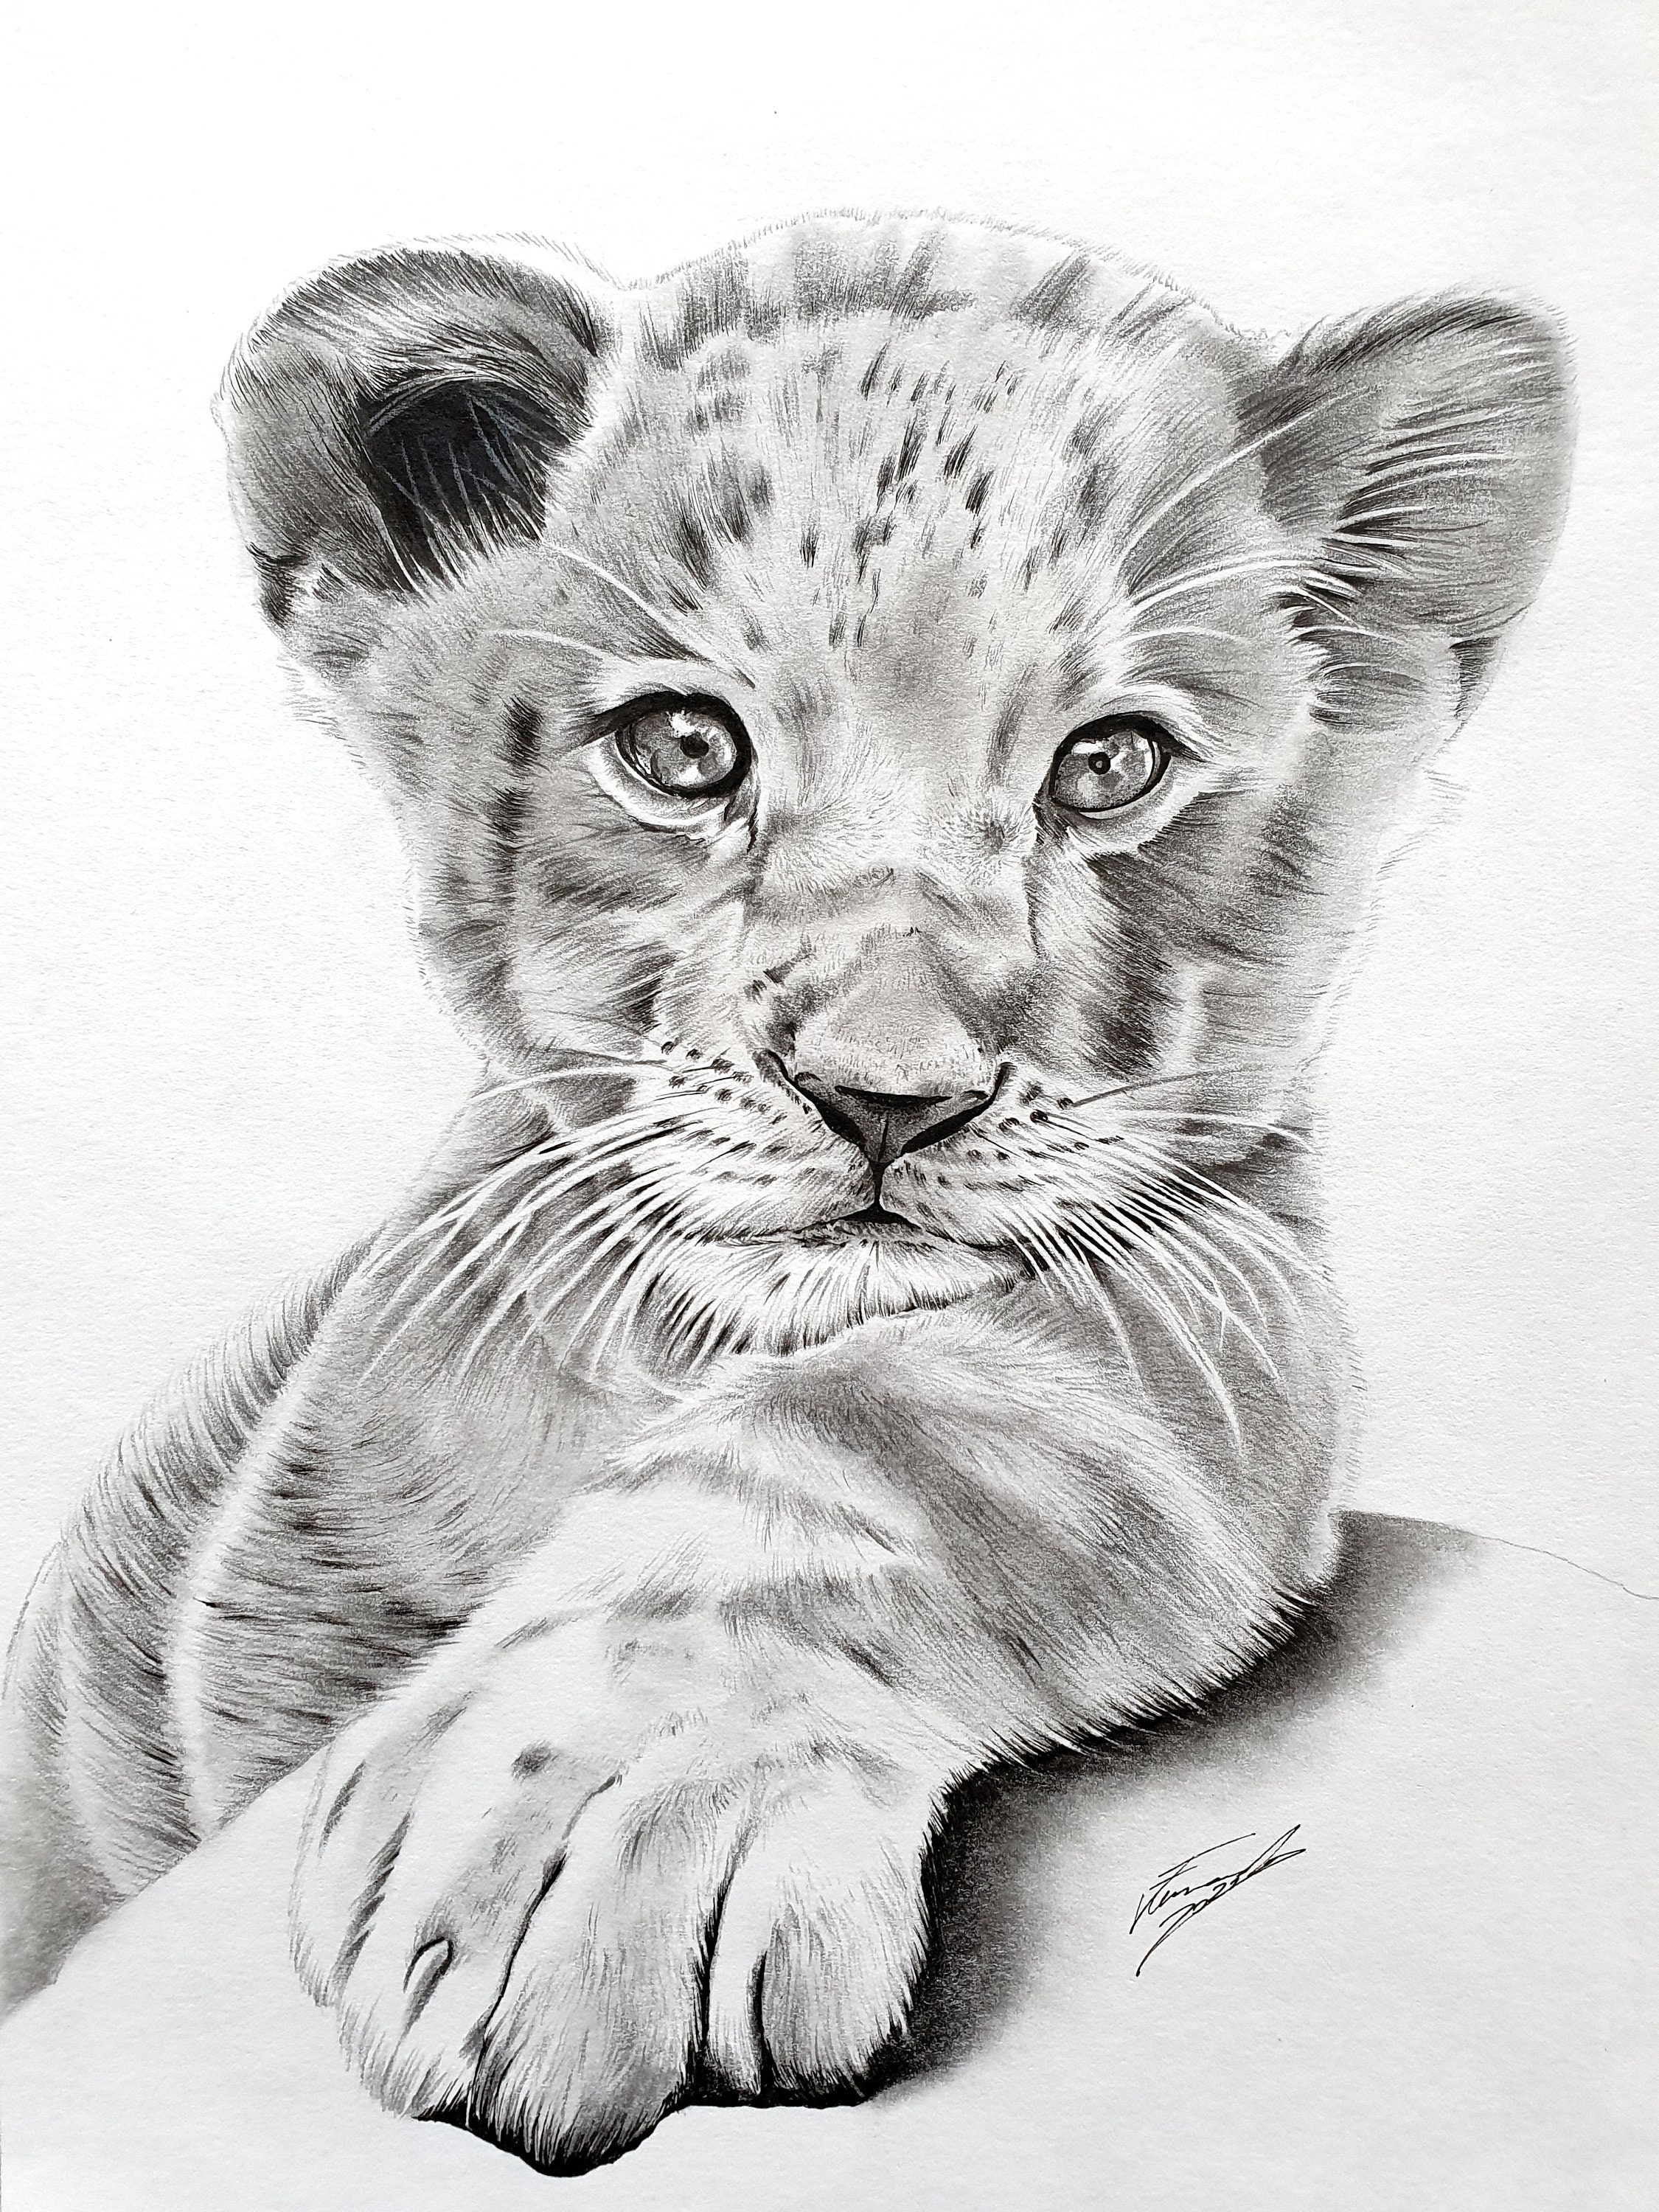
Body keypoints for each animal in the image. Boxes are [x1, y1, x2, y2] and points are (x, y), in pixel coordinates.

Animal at [0, 213, 1572, 2173]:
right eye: (684, 750)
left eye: (1110, 765)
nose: (886, 1095)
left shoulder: (1221, 1301)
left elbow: (883, 1433)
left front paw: (587, 1831)